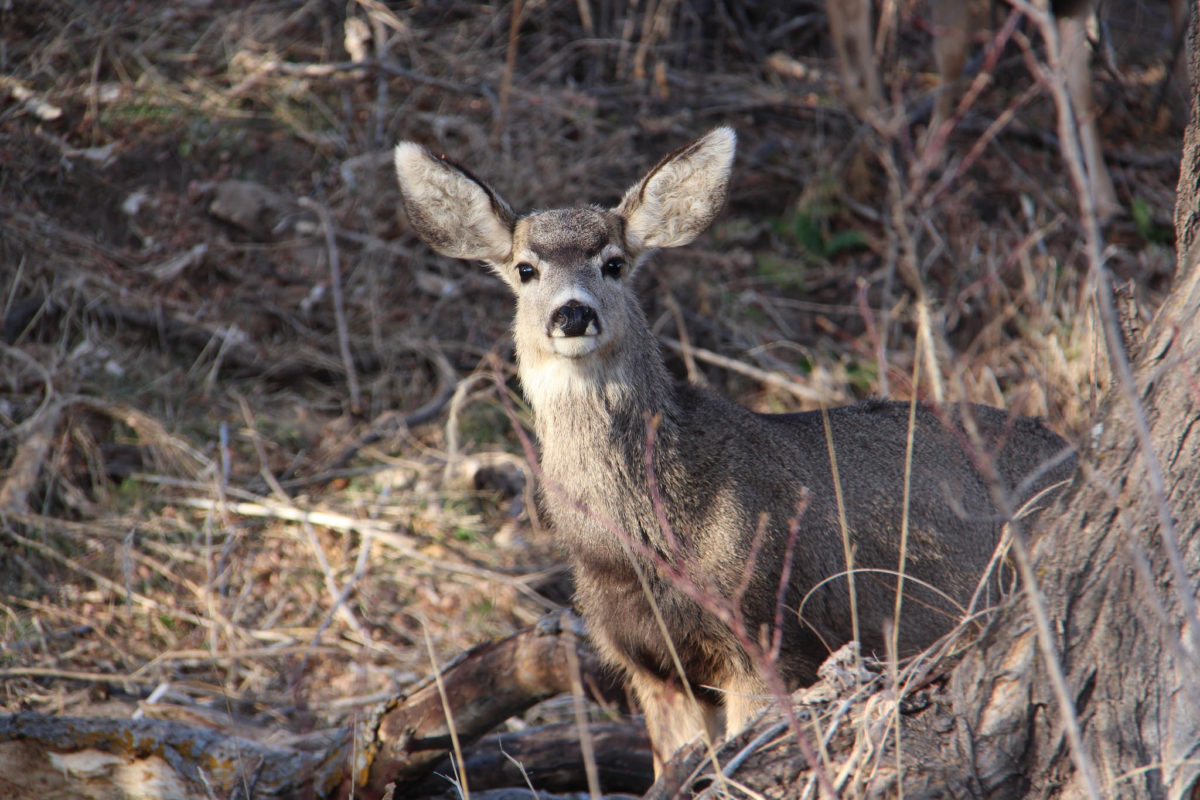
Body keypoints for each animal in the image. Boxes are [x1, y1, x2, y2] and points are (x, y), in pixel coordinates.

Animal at [396, 130, 1080, 767]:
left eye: (613, 262)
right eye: (525, 269)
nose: (572, 314)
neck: (642, 548)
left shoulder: (767, 636)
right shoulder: (647, 665)